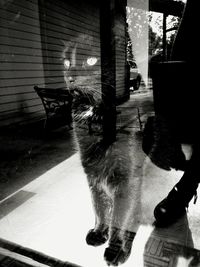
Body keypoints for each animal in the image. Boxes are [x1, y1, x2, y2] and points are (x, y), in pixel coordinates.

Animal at [61, 34, 141, 266]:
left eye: (90, 60)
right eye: (66, 62)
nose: (70, 76)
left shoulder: (127, 180)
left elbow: (121, 218)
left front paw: (117, 249)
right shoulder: (93, 175)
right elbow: (99, 206)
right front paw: (99, 232)